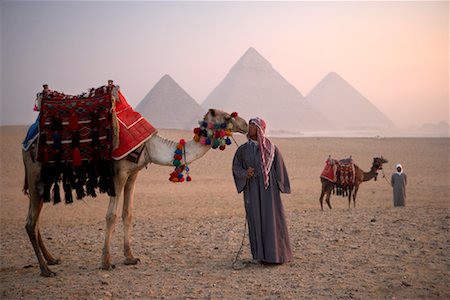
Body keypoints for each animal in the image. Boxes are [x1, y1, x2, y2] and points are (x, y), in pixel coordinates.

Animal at [22, 108, 248, 276]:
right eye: (228, 117)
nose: (246, 124)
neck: (149, 146)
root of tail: (29, 138)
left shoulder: (133, 174)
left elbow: (127, 213)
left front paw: (130, 258)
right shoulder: (119, 173)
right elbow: (111, 216)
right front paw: (106, 261)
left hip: (44, 179)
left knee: (36, 219)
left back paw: (52, 259)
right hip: (35, 172)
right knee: (31, 222)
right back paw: (45, 270)